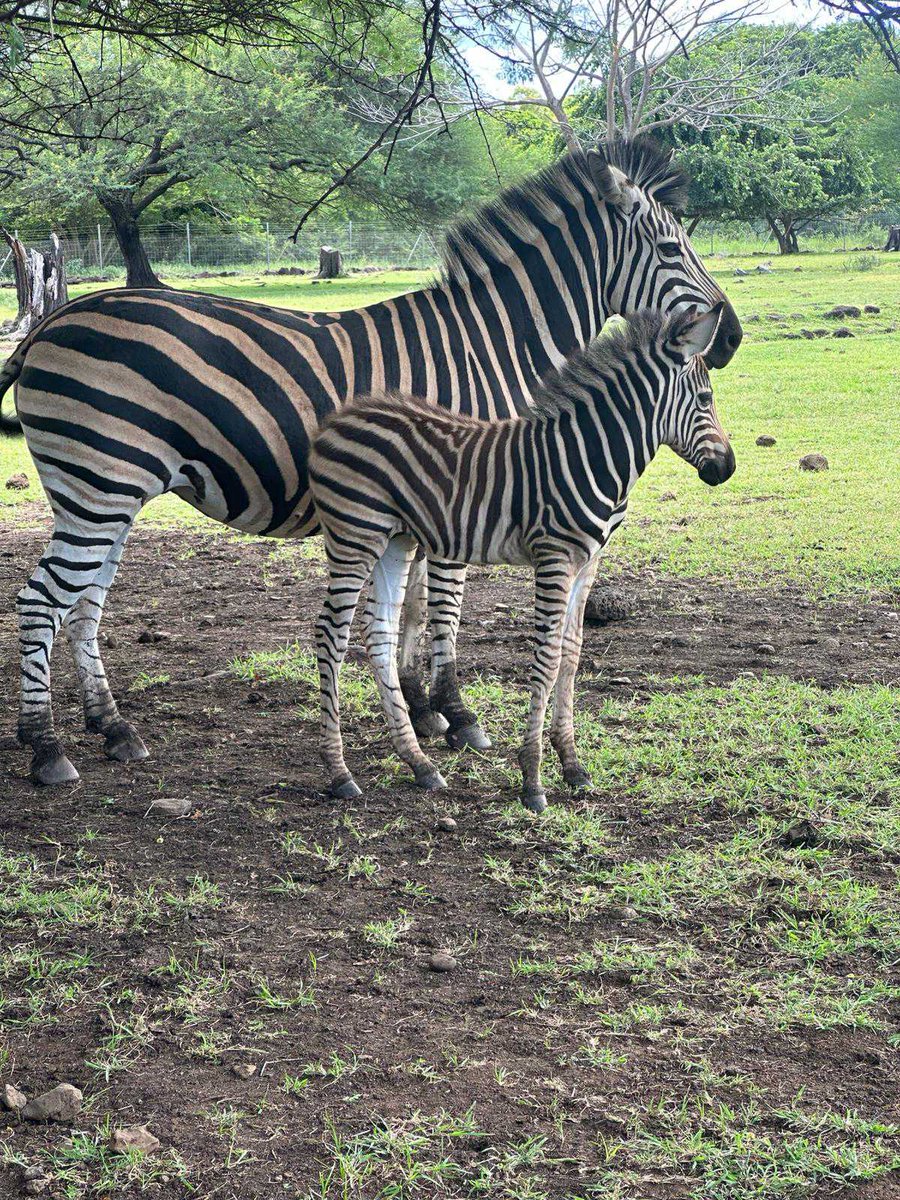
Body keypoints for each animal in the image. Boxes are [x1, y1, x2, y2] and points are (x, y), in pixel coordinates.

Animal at [309, 307, 734, 816]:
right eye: (706, 398)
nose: (727, 469)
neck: (592, 453)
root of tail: (338, 418)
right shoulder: (554, 557)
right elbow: (546, 659)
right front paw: (532, 779)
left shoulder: (587, 563)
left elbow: (571, 654)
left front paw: (572, 766)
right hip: (354, 536)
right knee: (330, 636)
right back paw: (338, 773)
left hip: (394, 540)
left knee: (379, 636)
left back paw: (418, 763)